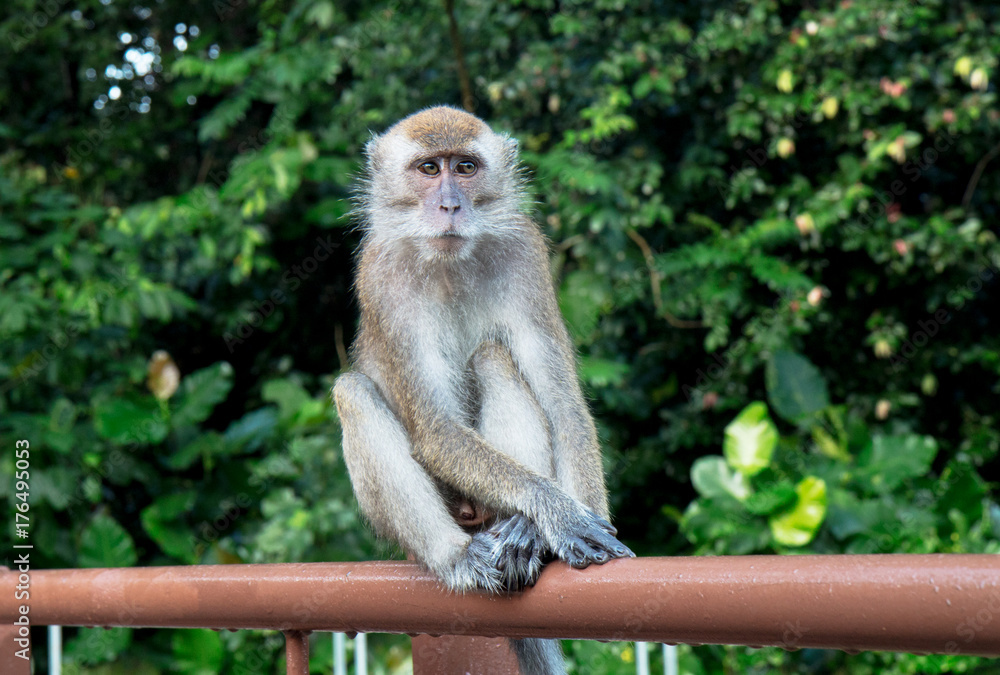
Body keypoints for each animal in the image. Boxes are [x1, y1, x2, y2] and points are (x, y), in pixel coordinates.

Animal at [336, 107, 632, 675]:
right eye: (430, 168)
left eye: (466, 167)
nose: (450, 204)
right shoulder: (381, 274)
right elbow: (436, 430)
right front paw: (555, 511)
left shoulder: (525, 253)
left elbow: (564, 407)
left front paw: (564, 517)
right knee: (351, 391)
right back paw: (455, 554)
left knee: (494, 356)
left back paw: (521, 531)